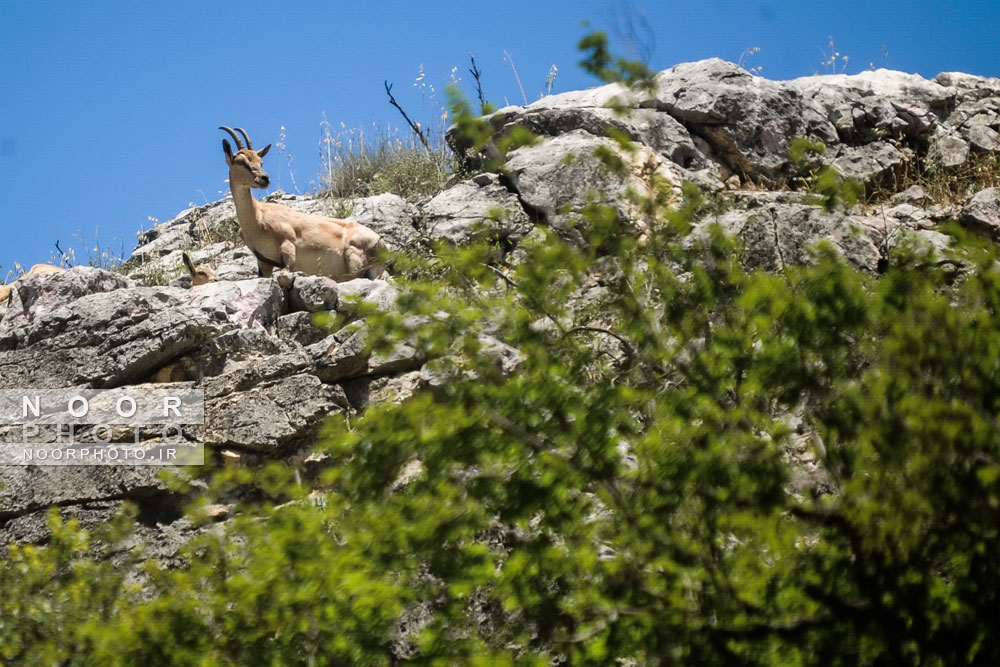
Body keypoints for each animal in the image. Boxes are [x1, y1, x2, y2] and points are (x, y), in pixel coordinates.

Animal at [219, 126, 386, 280]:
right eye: (241, 162)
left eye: (261, 162)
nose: (264, 178)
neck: (257, 217)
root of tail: (383, 245)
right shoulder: (264, 262)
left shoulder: (288, 245)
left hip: (355, 258)